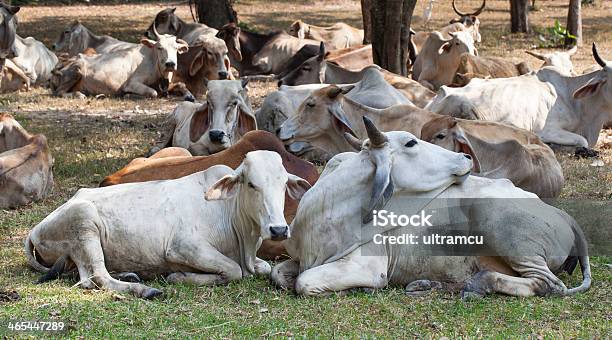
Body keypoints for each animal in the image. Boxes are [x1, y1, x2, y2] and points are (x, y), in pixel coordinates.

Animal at [23, 151, 310, 298]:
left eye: (284, 183)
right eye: (251, 184)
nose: (278, 229)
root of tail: (35, 230)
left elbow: (262, 268)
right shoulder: (183, 248)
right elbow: (233, 270)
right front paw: (178, 276)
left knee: (87, 278)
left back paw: (129, 275)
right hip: (84, 223)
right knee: (98, 277)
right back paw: (144, 289)